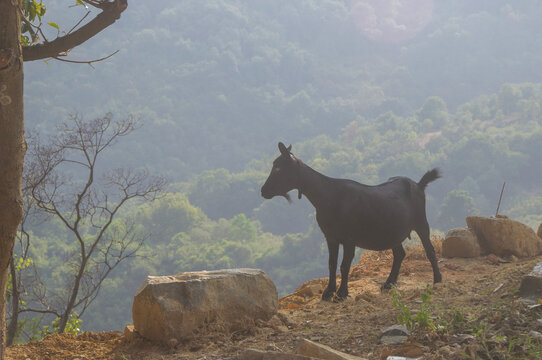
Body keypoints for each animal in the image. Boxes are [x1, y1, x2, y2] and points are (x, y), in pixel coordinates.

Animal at [262, 142, 444, 300]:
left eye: (278, 167)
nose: (263, 191)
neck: (327, 197)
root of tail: (419, 184)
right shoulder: (330, 237)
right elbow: (332, 263)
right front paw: (328, 292)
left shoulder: (350, 238)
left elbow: (344, 265)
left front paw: (341, 294)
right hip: (393, 230)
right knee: (399, 253)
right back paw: (389, 283)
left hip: (421, 222)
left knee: (429, 249)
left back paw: (437, 280)